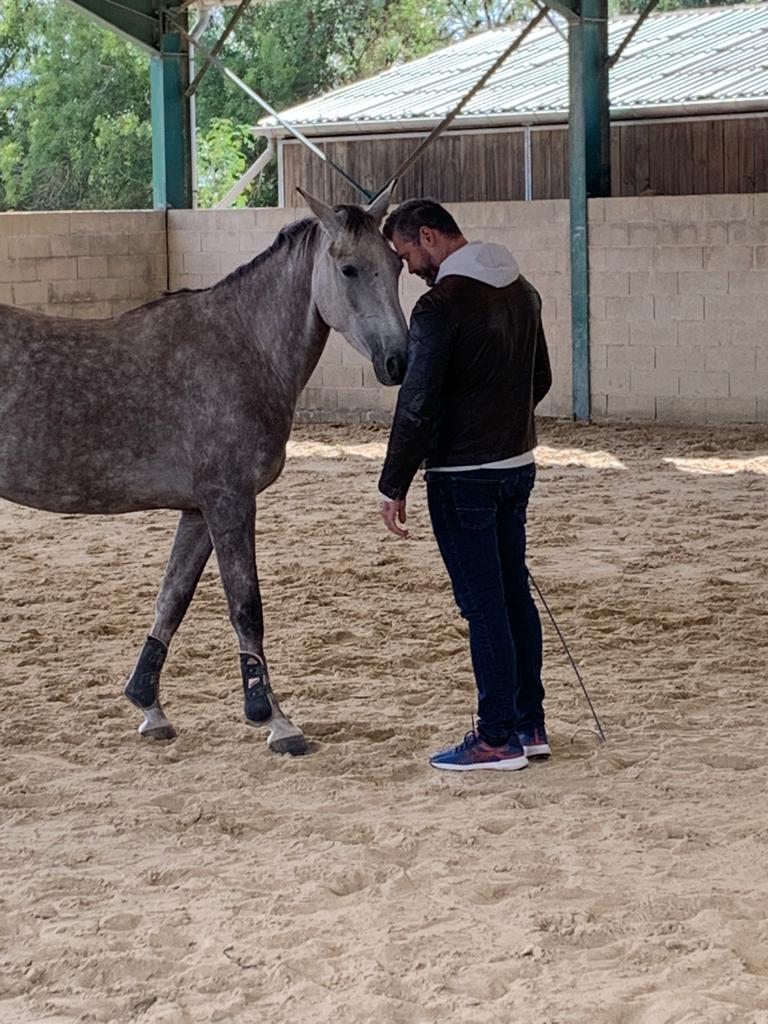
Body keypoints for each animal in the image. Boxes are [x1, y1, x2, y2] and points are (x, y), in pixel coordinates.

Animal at [0, 188, 408, 756]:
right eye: (348, 268)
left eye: (395, 264)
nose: (399, 361)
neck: (241, 346)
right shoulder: (229, 501)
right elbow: (246, 606)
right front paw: (274, 719)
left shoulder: (197, 511)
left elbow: (171, 600)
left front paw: (148, 706)